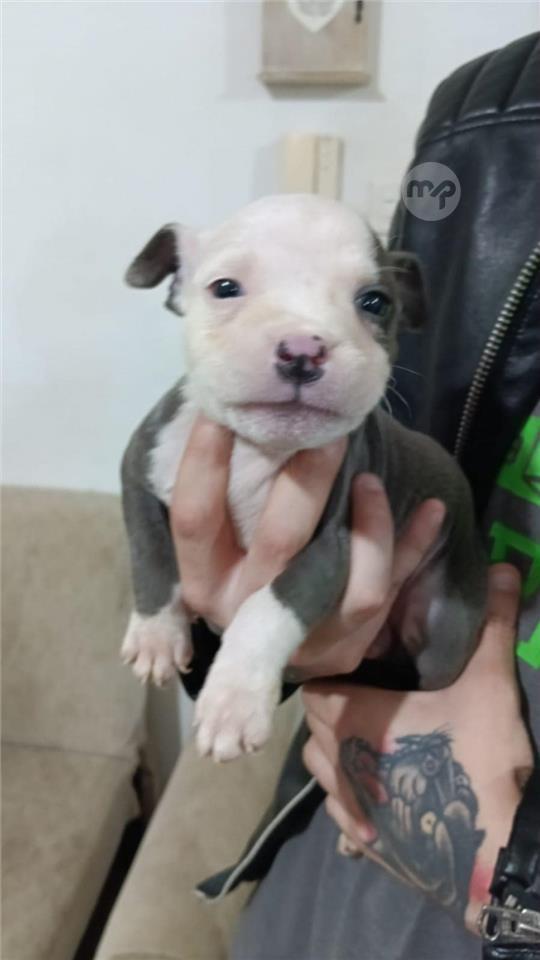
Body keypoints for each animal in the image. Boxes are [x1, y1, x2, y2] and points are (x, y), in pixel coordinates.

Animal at [120, 194, 486, 762]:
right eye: (225, 287)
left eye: (375, 302)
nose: (301, 348)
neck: (258, 450)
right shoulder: (141, 467)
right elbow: (151, 552)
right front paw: (157, 634)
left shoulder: (331, 549)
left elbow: (266, 607)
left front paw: (233, 700)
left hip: (448, 623)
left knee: (425, 673)